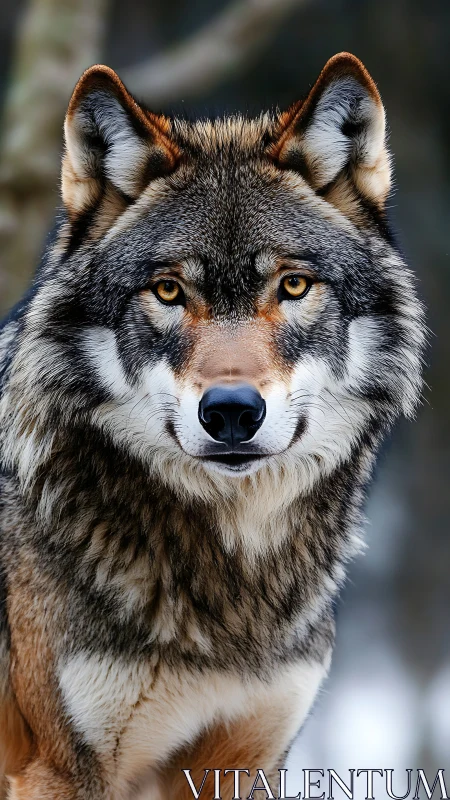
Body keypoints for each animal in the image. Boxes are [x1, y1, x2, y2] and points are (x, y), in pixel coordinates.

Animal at [0, 52, 424, 799]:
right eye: (169, 291)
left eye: (292, 285)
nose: (231, 411)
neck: (234, 581)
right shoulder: (57, 768)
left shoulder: (245, 763)